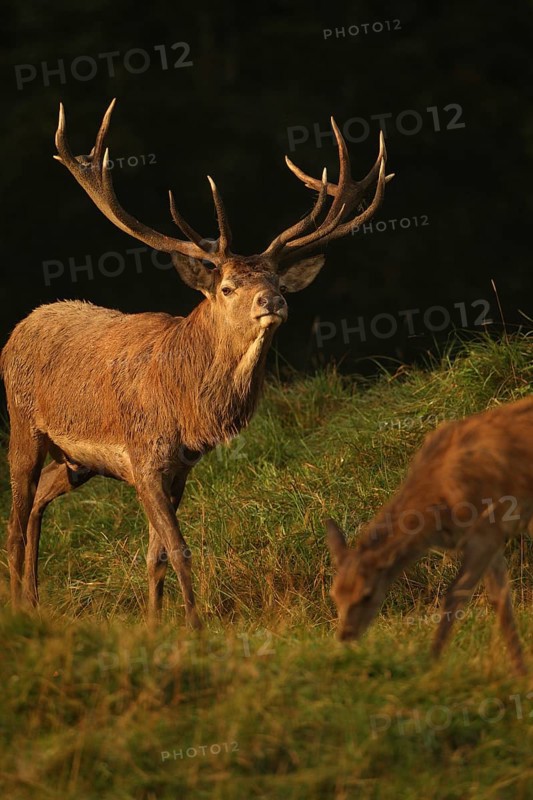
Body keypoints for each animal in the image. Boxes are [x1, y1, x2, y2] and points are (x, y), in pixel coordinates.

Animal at [1, 100, 393, 629]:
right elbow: (179, 549)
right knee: (15, 518)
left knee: (39, 500)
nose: (273, 302)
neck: (186, 404)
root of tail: (22, 324)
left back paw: (34, 601)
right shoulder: (143, 455)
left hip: (77, 460)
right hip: (24, 424)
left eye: (277, 281)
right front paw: (194, 626)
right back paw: (18, 605)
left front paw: (156, 624)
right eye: (227, 287)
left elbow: (156, 555)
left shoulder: (179, 468)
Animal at [326, 396, 533, 674]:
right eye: (334, 594)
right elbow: (500, 600)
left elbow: (455, 596)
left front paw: (431, 663)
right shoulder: (490, 539)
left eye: (367, 594)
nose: (345, 635)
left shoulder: (487, 529)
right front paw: (520, 670)